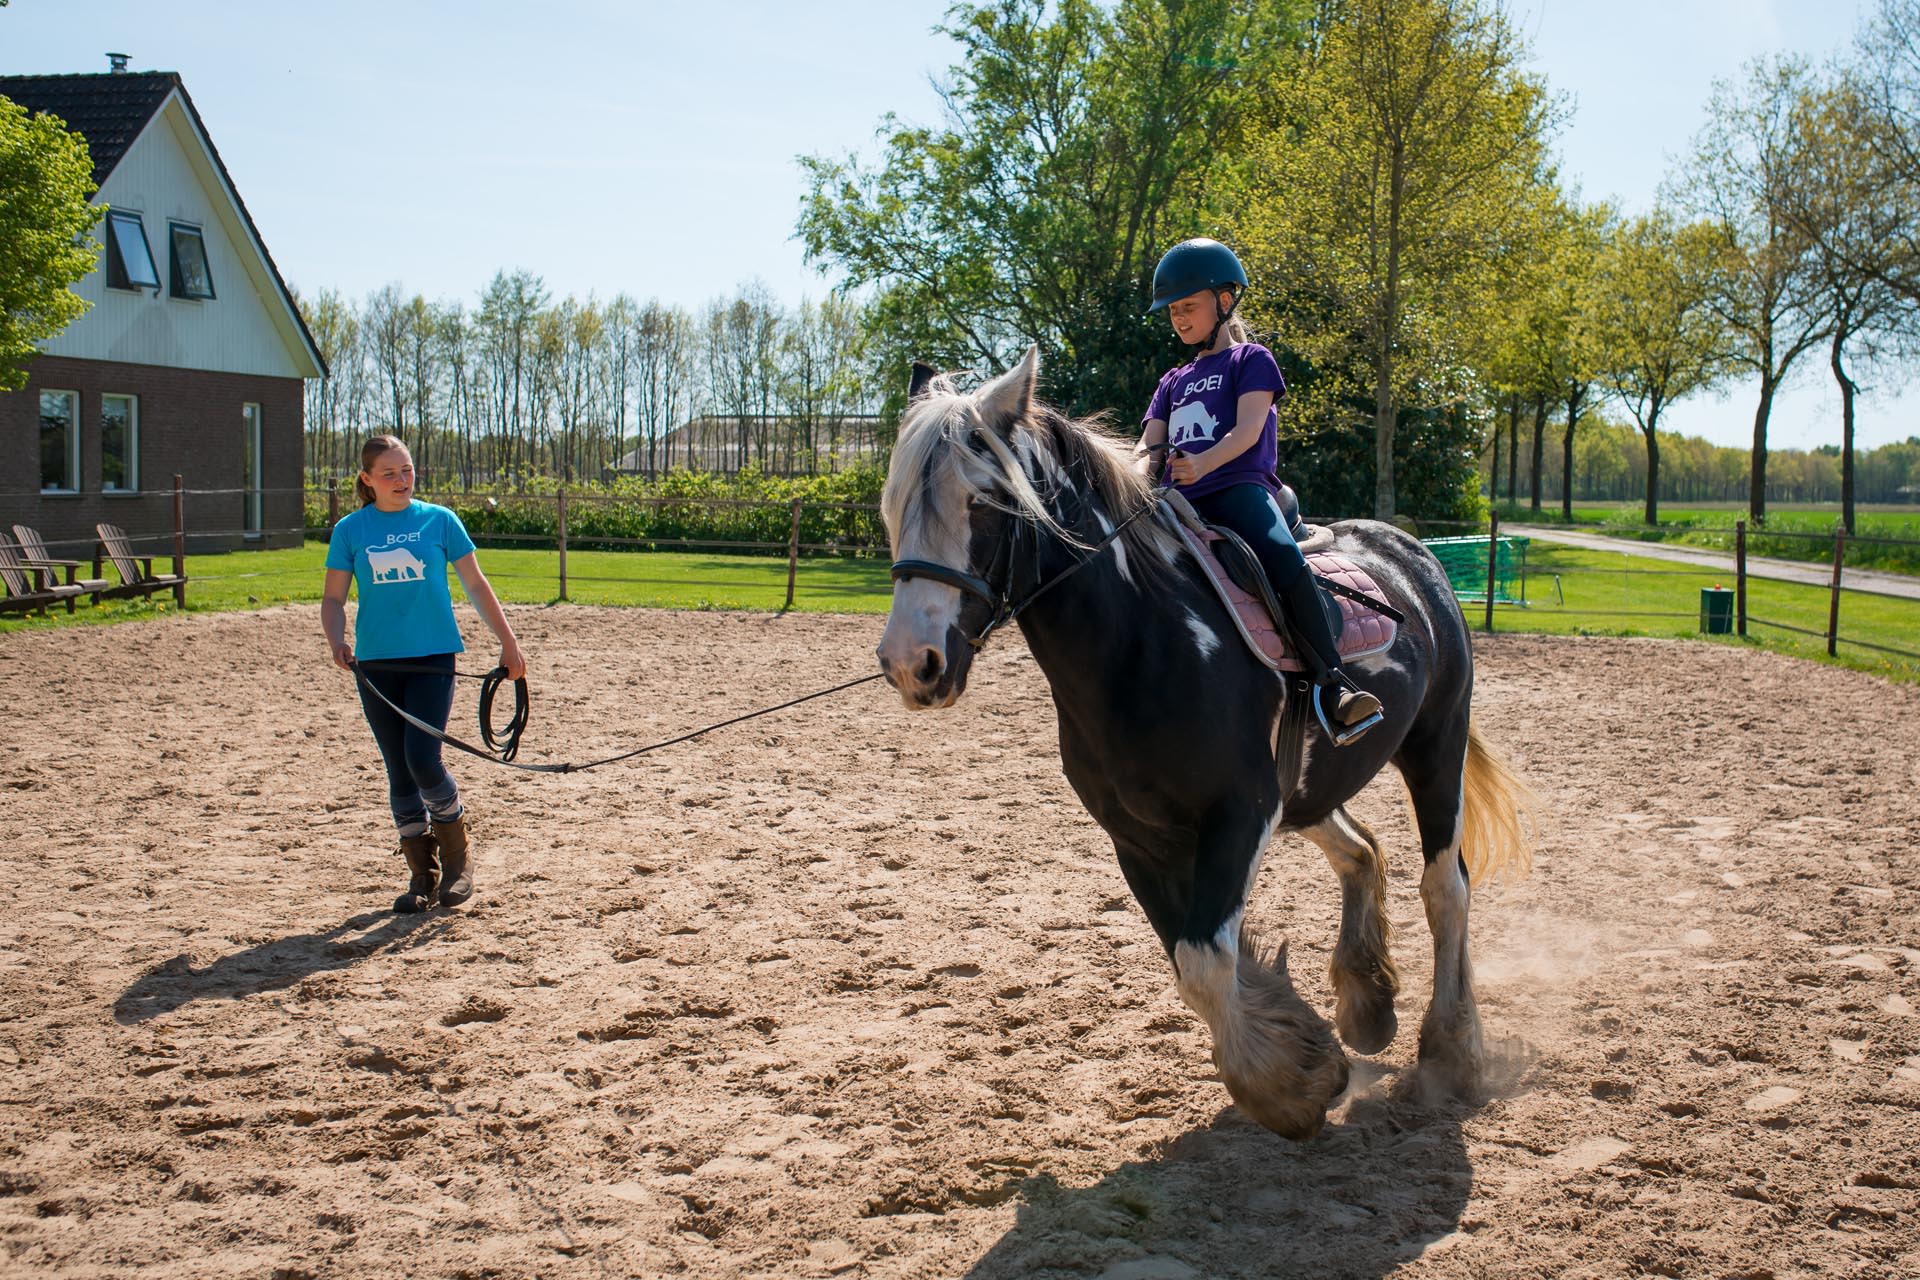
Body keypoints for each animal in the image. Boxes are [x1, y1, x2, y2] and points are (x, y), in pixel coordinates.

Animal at [874, 347, 1538, 1140]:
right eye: (892, 506)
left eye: (984, 503)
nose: (910, 663)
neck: (1143, 639)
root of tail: (1414, 554)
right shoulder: (1138, 835)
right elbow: (1190, 959)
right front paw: (1298, 1061)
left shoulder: (1241, 812)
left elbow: (1203, 960)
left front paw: (1288, 1088)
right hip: (1310, 789)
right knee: (1362, 852)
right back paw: (1368, 1001)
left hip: (1436, 746)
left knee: (1446, 889)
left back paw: (1451, 1051)